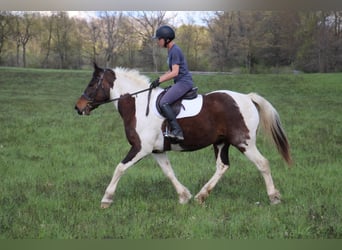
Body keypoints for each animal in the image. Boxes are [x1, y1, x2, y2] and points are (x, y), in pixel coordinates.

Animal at [75, 63, 292, 209]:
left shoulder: (140, 148)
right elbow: (168, 172)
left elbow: (119, 168)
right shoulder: (156, 150)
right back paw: (201, 196)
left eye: (93, 83)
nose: (78, 108)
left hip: (244, 142)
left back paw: (273, 197)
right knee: (222, 166)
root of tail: (247, 97)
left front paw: (106, 198)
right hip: (221, 142)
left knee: (262, 163)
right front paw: (184, 196)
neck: (138, 104)